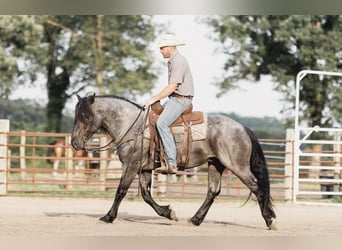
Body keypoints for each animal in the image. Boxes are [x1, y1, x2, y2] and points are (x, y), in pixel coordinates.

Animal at [71, 94, 276, 230]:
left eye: (86, 116)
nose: (74, 143)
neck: (134, 127)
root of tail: (243, 128)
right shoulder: (144, 169)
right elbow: (146, 195)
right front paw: (169, 213)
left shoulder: (131, 165)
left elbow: (120, 191)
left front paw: (108, 217)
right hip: (215, 164)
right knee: (213, 191)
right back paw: (196, 219)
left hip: (237, 166)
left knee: (257, 187)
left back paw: (270, 220)